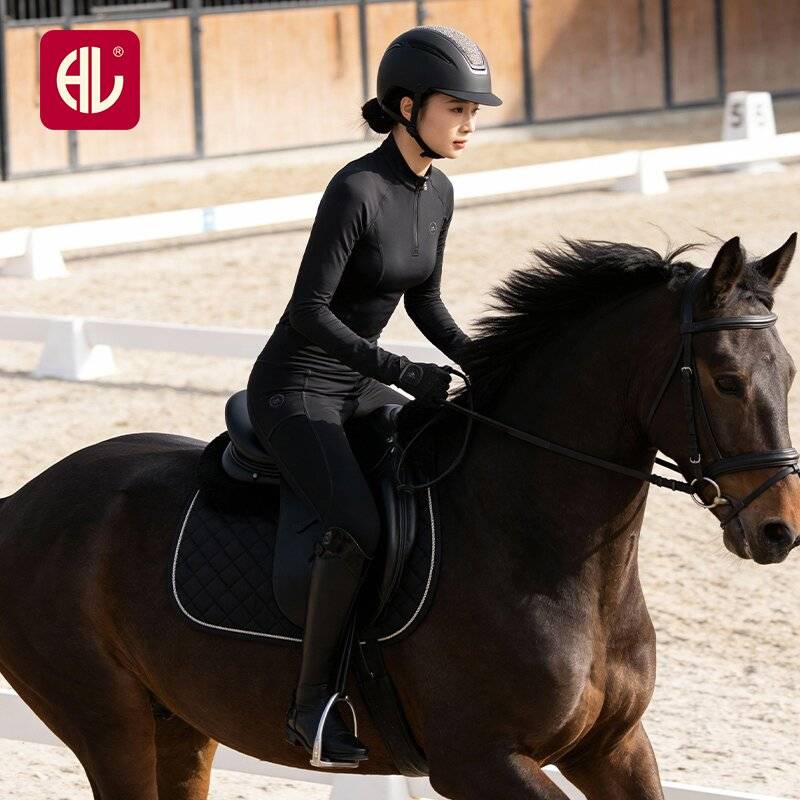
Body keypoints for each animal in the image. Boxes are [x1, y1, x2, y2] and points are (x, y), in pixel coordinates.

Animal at [0, 233, 797, 800]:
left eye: (788, 372)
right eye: (726, 380)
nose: (779, 531)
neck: (541, 548)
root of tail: (23, 504)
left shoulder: (615, 749)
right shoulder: (481, 761)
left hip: (182, 726)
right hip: (111, 727)